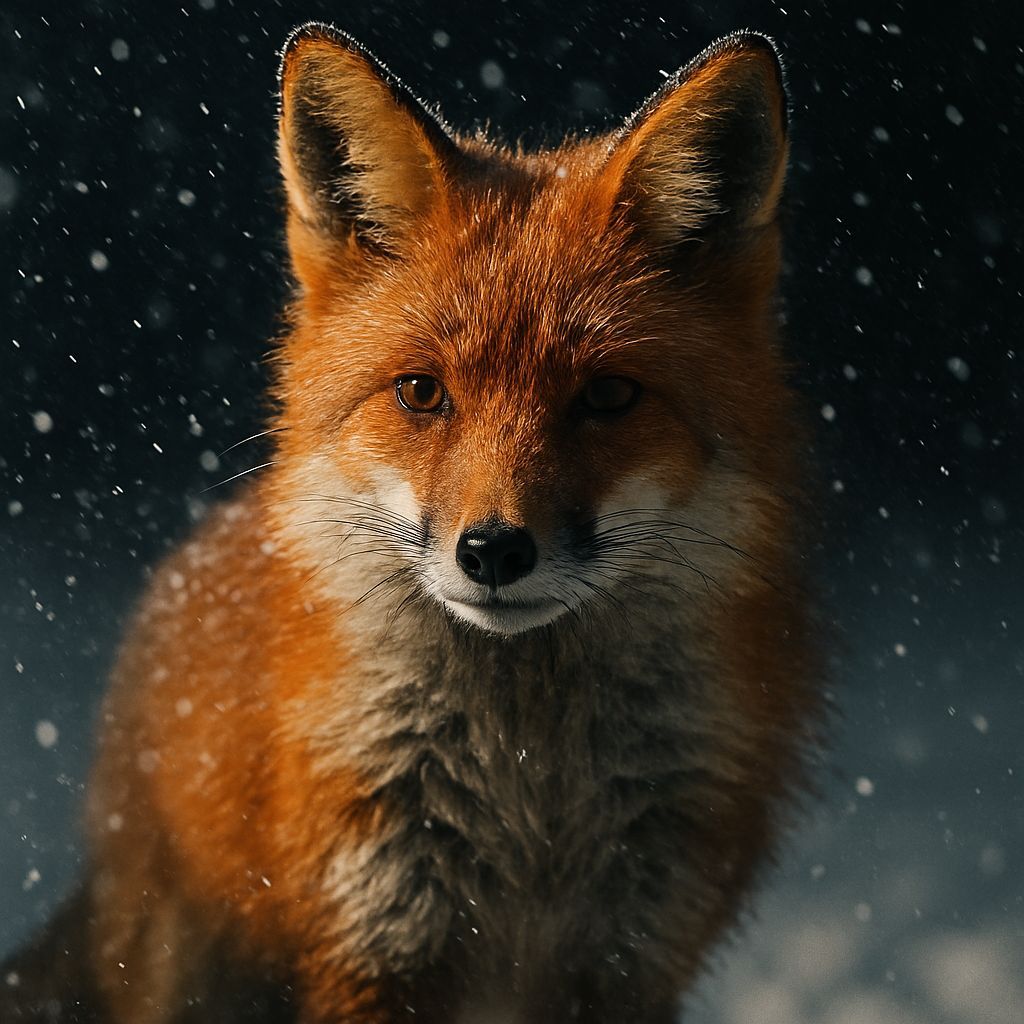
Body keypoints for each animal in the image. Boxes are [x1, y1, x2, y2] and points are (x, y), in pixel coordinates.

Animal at [2, 21, 821, 1024]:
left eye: (608, 396)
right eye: (422, 392)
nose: (494, 550)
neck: (527, 785)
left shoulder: (628, 957)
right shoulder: (375, 941)